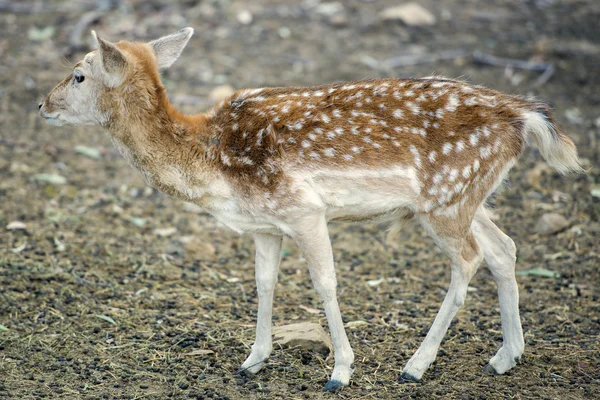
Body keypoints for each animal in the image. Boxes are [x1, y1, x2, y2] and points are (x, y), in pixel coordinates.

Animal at [38, 28, 580, 390]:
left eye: (79, 74)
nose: (42, 105)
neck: (212, 162)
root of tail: (524, 117)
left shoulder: (303, 210)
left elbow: (325, 283)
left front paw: (340, 370)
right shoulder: (265, 224)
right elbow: (264, 283)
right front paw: (252, 360)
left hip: (446, 196)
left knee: (469, 259)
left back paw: (416, 365)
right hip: (466, 196)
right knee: (504, 248)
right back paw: (505, 357)